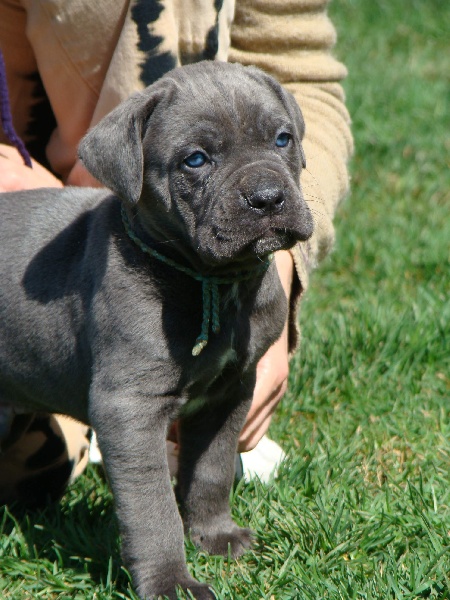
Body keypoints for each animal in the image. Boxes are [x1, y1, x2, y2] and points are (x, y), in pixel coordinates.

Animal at [0, 63, 312, 596]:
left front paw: (215, 536)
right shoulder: (129, 408)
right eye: (195, 160)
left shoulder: (229, 393)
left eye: (282, 139)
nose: (268, 198)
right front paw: (171, 583)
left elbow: (210, 470)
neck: (212, 282)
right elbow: (152, 510)